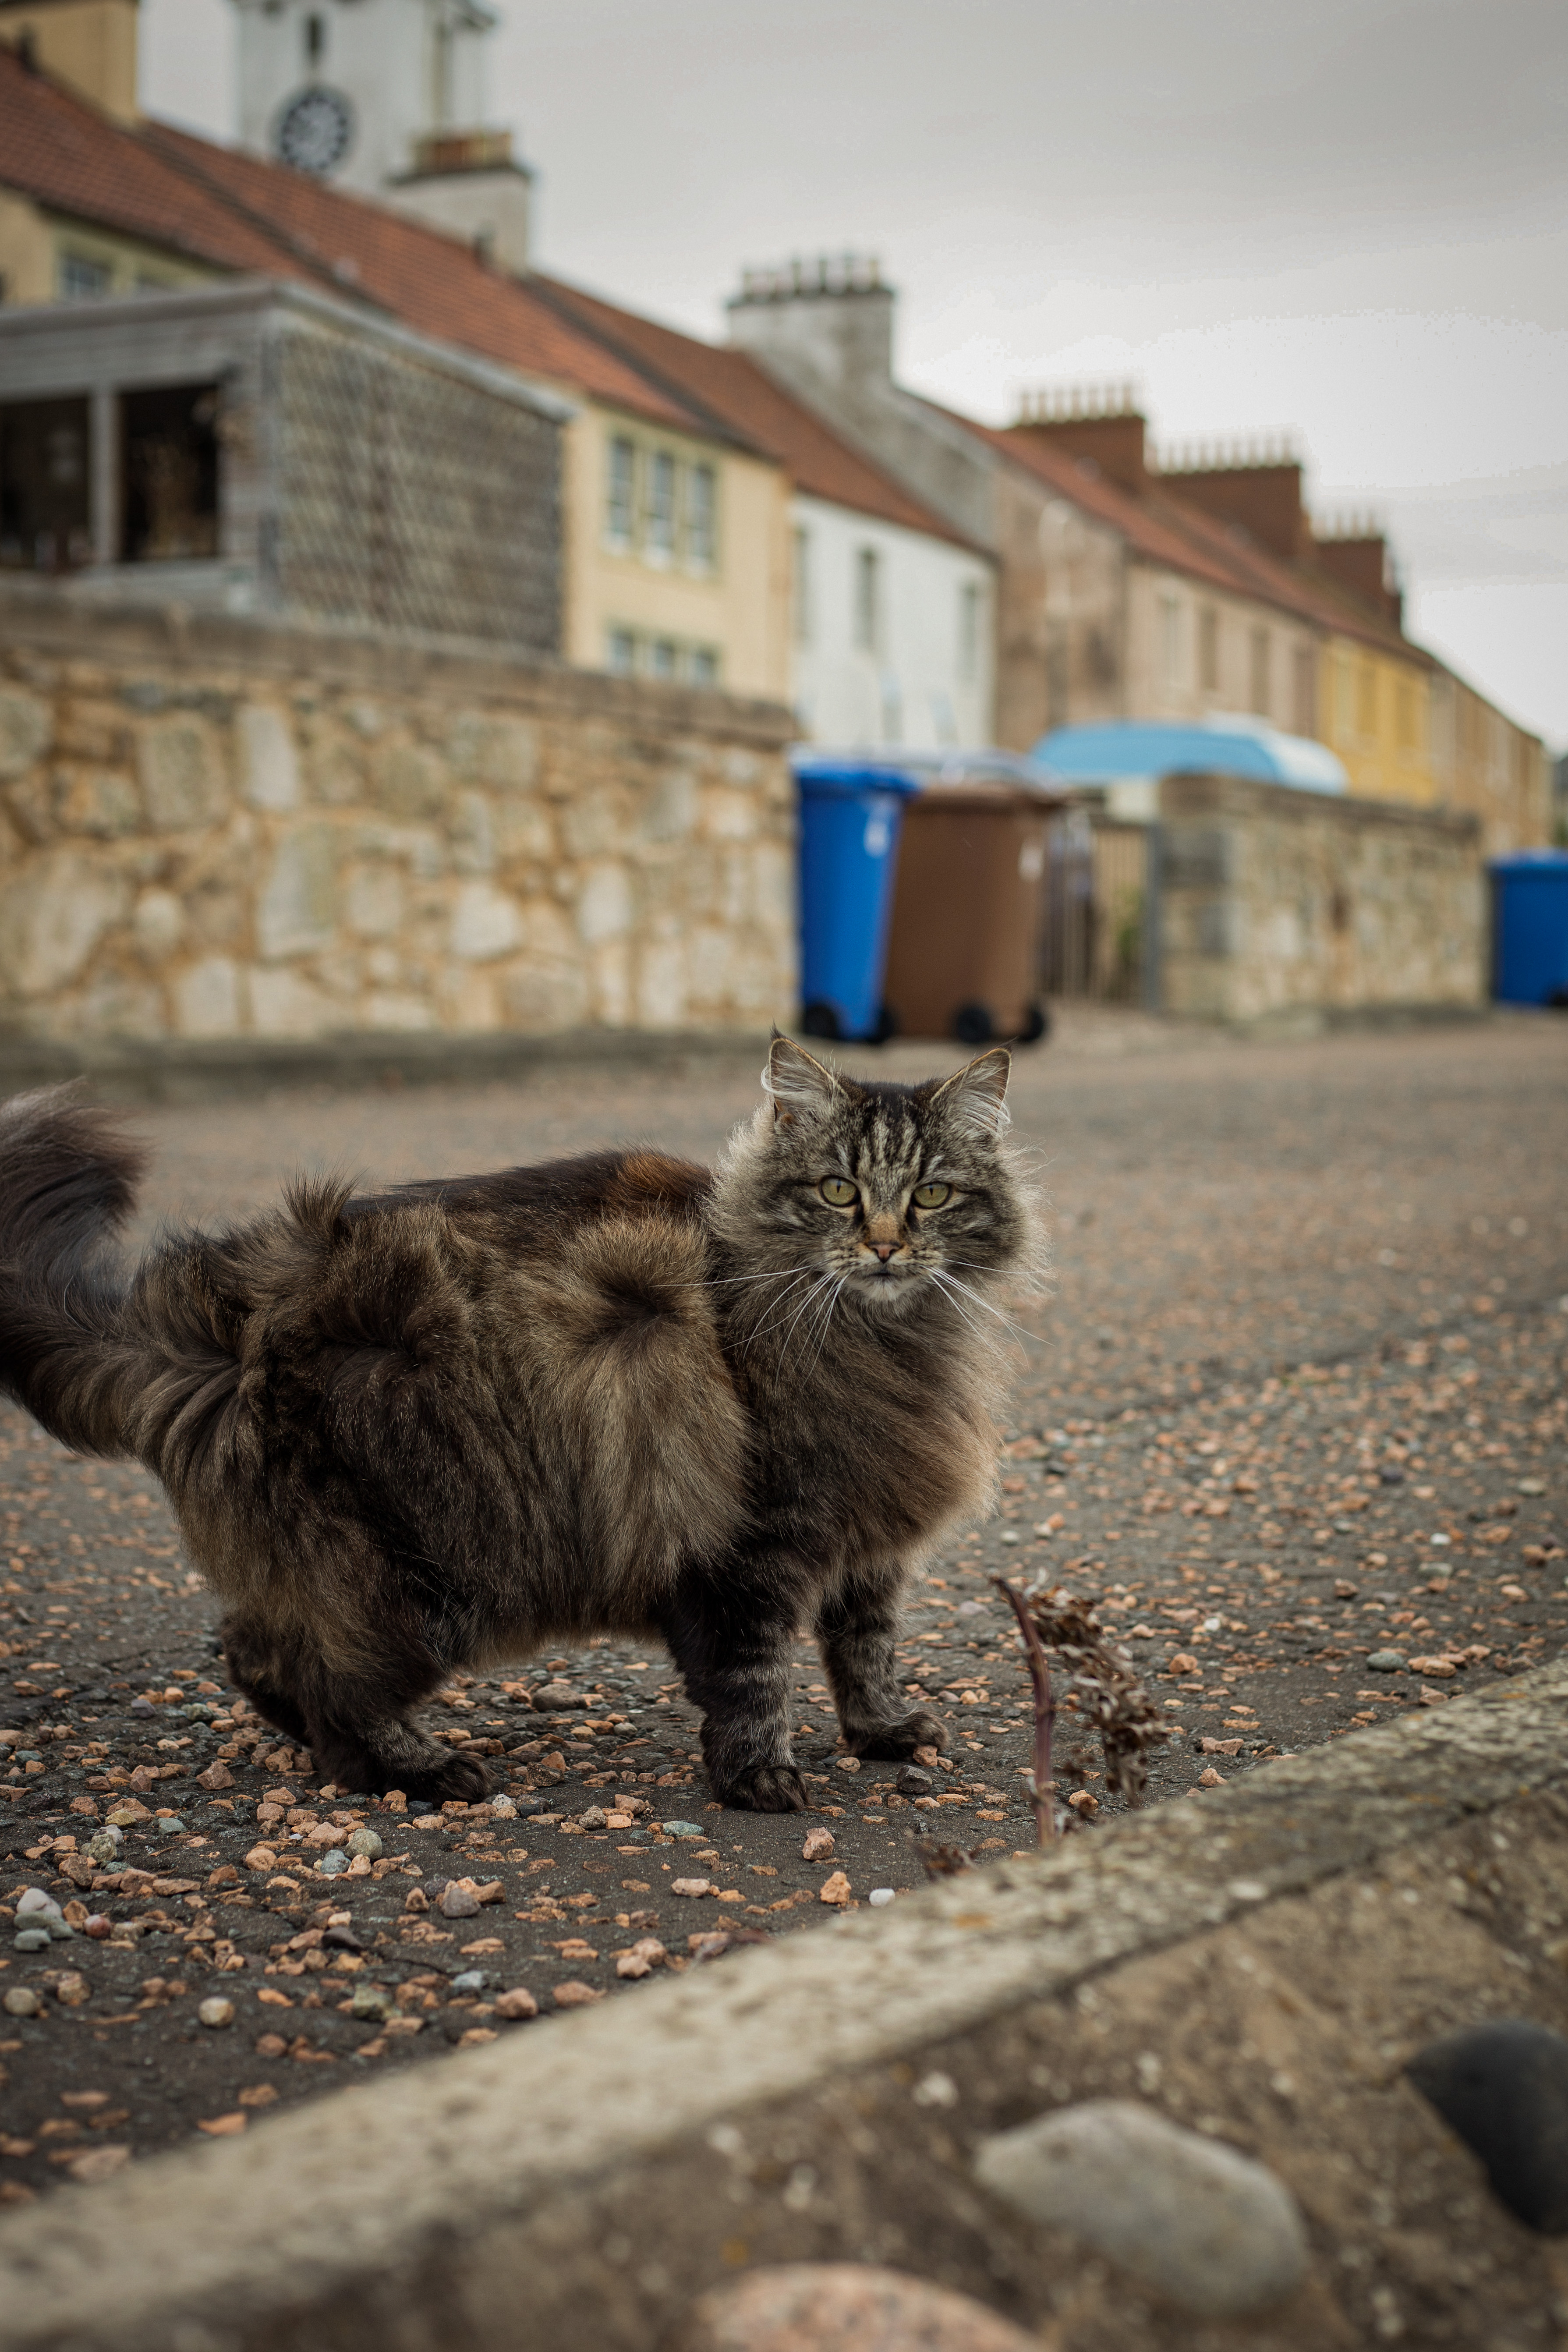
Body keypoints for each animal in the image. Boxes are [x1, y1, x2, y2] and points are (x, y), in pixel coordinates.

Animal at [0, 1039, 1044, 1806]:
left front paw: (881, 1732)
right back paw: (419, 1770)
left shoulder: (866, 1542)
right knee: (322, 1676)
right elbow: (754, 1674)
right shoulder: (754, 1544)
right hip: (421, 1580)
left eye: (931, 1194)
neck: (884, 1341)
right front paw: (759, 1777)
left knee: (257, 1650)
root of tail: (238, 1294)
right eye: (836, 1190)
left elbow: (864, 1648)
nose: (885, 1245)